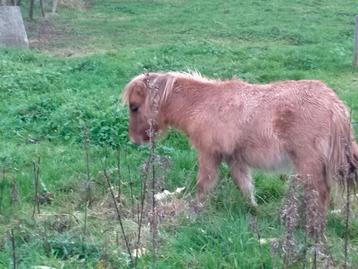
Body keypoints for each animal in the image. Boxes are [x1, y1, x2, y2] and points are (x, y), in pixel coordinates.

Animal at [121, 71, 358, 222]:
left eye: (134, 107)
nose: (135, 140)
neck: (201, 103)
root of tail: (335, 105)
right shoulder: (235, 159)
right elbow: (245, 186)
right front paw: (254, 210)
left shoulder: (208, 155)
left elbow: (203, 186)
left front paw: (194, 213)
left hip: (308, 163)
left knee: (321, 193)